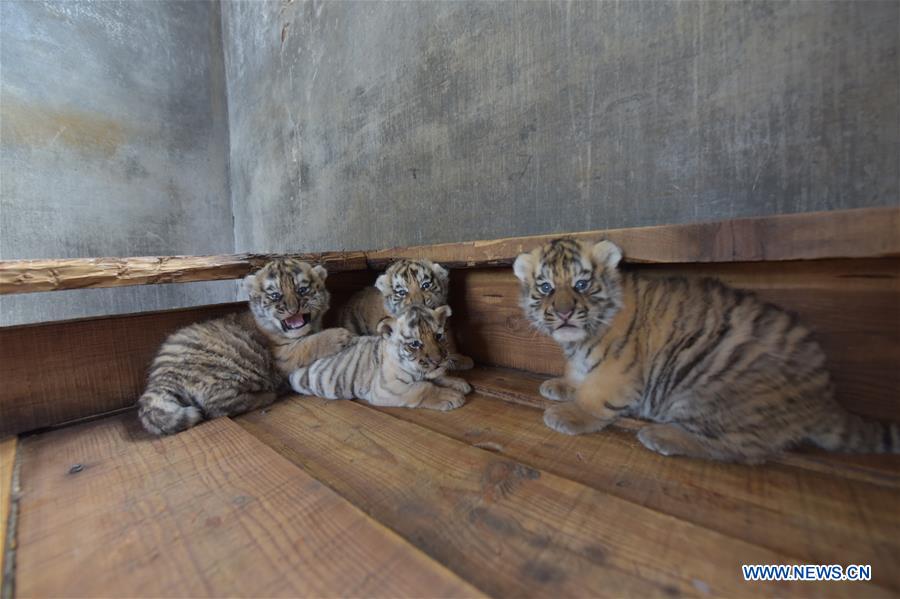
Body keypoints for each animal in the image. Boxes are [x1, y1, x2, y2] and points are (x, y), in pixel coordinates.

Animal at [138, 259, 353, 435]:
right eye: (275, 295)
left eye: (302, 290)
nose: (293, 309)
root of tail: (159, 378)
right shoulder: (283, 355)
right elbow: (308, 344)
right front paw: (340, 335)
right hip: (229, 370)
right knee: (215, 407)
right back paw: (269, 395)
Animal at [290, 304, 472, 411]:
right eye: (414, 344)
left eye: (438, 336)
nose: (438, 360)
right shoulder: (386, 388)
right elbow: (423, 388)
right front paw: (451, 396)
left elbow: (437, 377)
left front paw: (458, 383)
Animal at [513, 238, 900, 463]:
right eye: (546, 287)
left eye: (581, 284)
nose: (564, 313)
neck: (579, 339)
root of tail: (825, 397)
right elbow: (577, 375)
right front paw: (560, 385)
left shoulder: (617, 371)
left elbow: (594, 397)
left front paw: (569, 413)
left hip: (714, 392)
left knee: (741, 449)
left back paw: (661, 435)